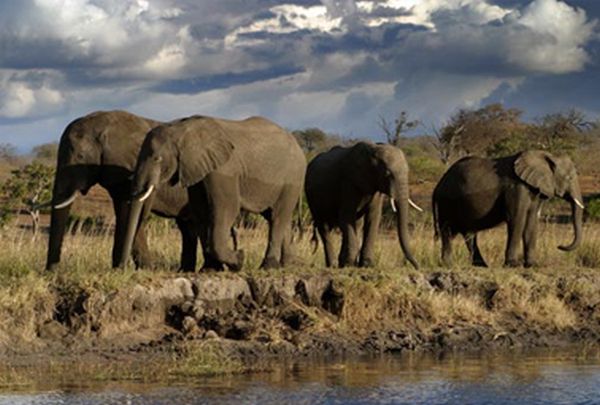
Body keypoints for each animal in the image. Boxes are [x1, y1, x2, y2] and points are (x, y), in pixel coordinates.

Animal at [46, 109, 206, 270]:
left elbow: (132, 214)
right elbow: (124, 212)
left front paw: (138, 268)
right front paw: (123, 268)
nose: (52, 270)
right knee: (187, 227)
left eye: (80, 156)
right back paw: (184, 270)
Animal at [118, 115, 304, 270]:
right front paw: (210, 269)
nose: (122, 268)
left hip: (292, 179)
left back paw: (268, 267)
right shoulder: (197, 169)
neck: (181, 128)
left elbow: (227, 209)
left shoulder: (224, 170)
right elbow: (201, 212)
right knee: (276, 217)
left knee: (278, 217)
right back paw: (286, 266)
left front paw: (239, 260)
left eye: (157, 159)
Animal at [434, 150, 584, 266]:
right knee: (447, 231)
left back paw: (481, 265)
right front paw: (513, 264)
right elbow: (517, 219)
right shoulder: (516, 188)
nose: (559, 246)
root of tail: (438, 185)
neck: (547, 156)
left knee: (469, 234)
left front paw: (532, 265)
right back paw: (449, 264)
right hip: (445, 203)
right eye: (569, 178)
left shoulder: (535, 190)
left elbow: (531, 222)